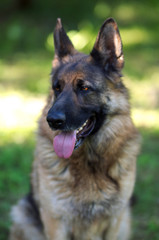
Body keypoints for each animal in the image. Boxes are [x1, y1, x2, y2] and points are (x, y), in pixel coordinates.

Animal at [9, 18, 139, 240]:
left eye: (84, 88)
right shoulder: (55, 222)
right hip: (23, 213)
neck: (89, 161)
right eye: (57, 88)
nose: (52, 120)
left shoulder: (115, 221)